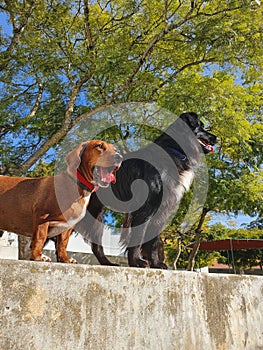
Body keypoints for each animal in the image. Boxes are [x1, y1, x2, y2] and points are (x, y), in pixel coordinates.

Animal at [75, 112, 218, 268]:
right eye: (201, 126)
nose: (216, 138)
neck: (172, 150)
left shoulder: (161, 210)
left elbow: (153, 241)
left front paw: (155, 263)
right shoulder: (146, 208)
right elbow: (138, 237)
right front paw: (136, 262)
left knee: (95, 244)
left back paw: (107, 263)